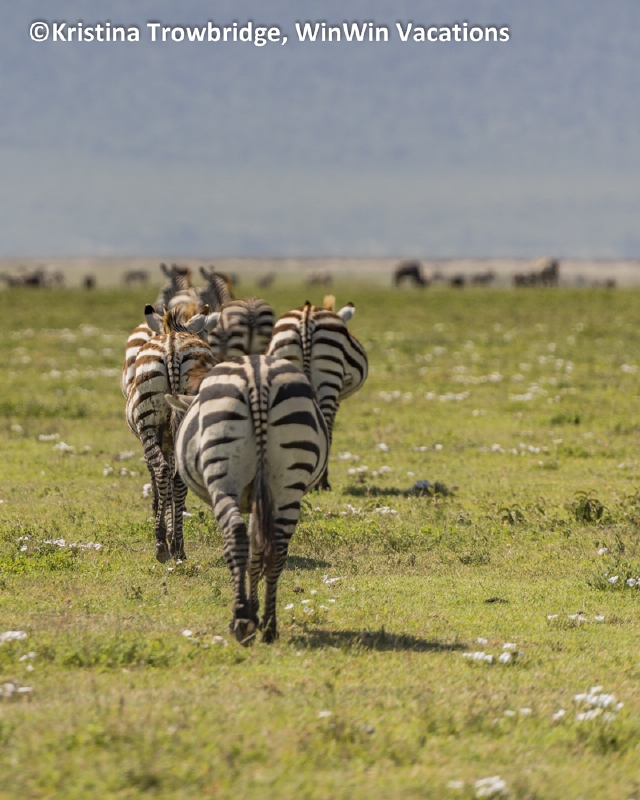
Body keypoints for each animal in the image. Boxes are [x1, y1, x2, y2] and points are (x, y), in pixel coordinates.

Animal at [126, 304, 220, 562]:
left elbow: (160, 481)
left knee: (162, 469)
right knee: (178, 476)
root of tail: (172, 347)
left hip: (148, 423)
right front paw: (172, 534)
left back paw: (161, 544)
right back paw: (178, 545)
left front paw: (164, 531)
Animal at [167, 355, 329, 642]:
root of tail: (258, 375)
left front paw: (248, 612)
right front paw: (256, 612)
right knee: (277, 547)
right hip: (289, 482)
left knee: (235, 535)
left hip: (222, 477)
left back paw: (241, 621)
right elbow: (257, 552)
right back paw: (269, 625)